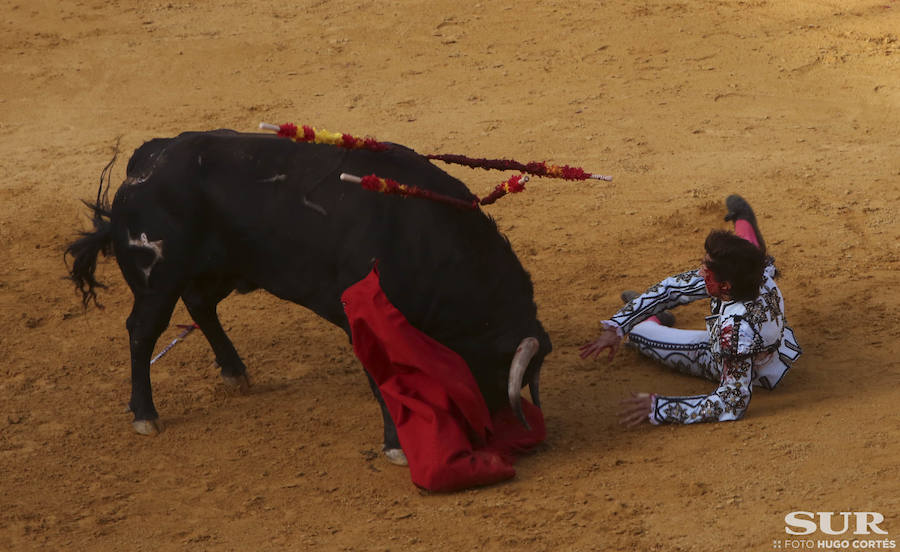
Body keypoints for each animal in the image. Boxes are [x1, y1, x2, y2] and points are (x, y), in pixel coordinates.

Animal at [65, 130, 548, 458]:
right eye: (499, 371)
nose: (488, 433)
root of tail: (145, 162)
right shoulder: (363, 322)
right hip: (158, 281)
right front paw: (397, 444)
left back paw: (235, 373)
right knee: (142, 332)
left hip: (225, 267)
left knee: (201, 306)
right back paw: (145, 415)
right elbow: (383, 383)